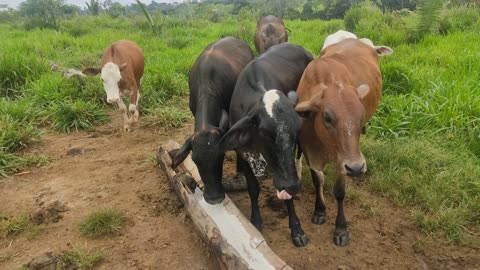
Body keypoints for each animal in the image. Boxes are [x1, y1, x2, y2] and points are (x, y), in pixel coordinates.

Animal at [218, 43, 316, 248]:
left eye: (297, 129)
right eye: (264, 132)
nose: (292, 185)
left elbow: (287, 197)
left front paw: (296, 230)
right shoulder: (243, 155)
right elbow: (253, 189)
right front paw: (255, 221)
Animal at [294, 31, 392, 247]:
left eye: (361, 116)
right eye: (327, 117)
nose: (356, 168)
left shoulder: (344, 160)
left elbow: (339, 191)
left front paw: (341, 229)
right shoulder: (309, 151)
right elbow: (318, 181)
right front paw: (320, 211)